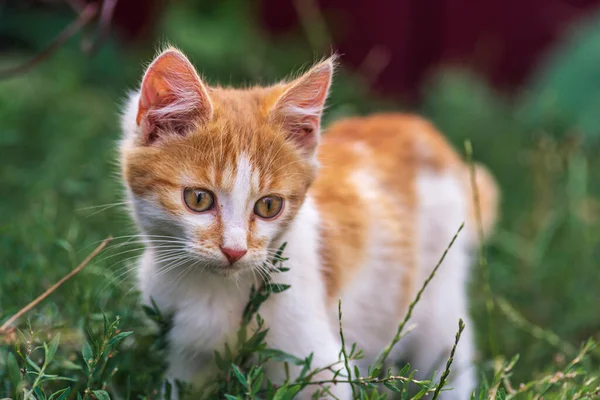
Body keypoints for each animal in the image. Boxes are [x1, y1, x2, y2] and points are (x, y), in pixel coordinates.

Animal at [119, 48, 500, 398]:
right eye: (198, 199)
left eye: (269, 206)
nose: (234, 251)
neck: (213, 290)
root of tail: (420, 129)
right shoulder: (184, 352)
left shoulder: (320, 364)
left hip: (439, 297)